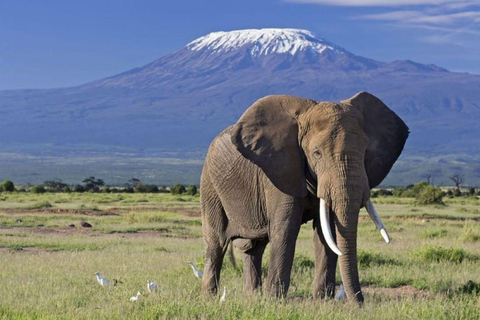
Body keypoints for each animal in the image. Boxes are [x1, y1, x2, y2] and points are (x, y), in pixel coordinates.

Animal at [199, 92, 408, 302]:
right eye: (317, 153)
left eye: (365, 152)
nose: (360, 304)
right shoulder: (279, 171)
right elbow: (286, 228)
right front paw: (275, 301)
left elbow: (327, 231)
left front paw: (323, 301)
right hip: (209, 184)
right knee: (217, 242)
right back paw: (210, 297)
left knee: (254, 246)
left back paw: (252, 297)